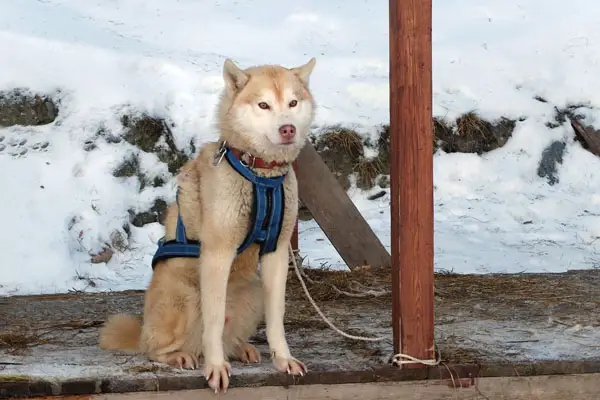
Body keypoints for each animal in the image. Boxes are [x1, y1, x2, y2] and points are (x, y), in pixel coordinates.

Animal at [99, 57, 318, 394]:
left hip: (252, 291)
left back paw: (240, 348)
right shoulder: (217, 254)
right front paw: (215, 367)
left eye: (293, 103)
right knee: (156, 347)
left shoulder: (277, 253)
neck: (260, 176)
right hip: (185, 296)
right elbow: (213, 321)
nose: (288, 128)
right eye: (263, 104)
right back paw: (179, 356)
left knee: (228, 336)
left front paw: (283, 359)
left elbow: (276, 318)